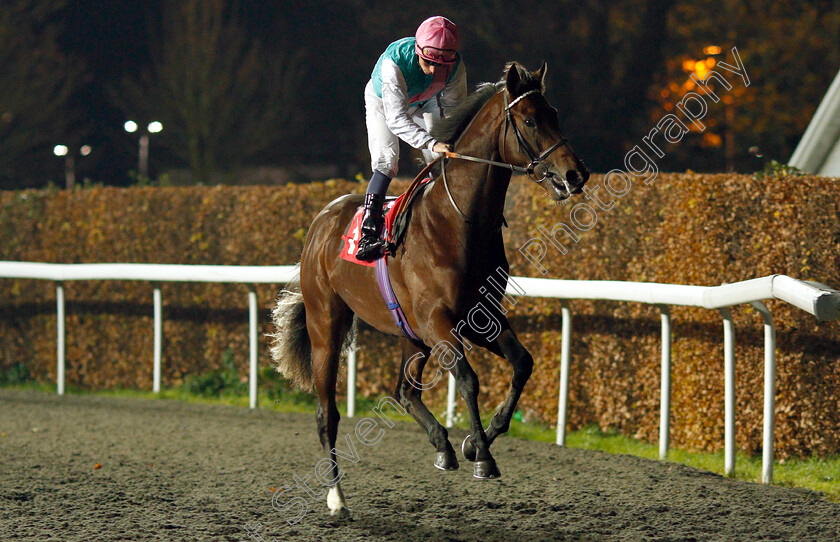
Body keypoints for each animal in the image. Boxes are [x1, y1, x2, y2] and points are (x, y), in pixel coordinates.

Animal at [272, 62, 588, 520]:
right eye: (530, 120)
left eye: (555, 114)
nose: (576, 174)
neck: (459, 223)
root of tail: (321, 221)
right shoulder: (439, 320)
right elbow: (469, 379)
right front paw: (484, 456)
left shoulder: (479, 317)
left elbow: (522, 363)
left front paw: (475, 441)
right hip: (327, 325)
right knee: (326, 412)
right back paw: (336, 497)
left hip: (411, 333)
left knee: (404, 391)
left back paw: (442, 445)